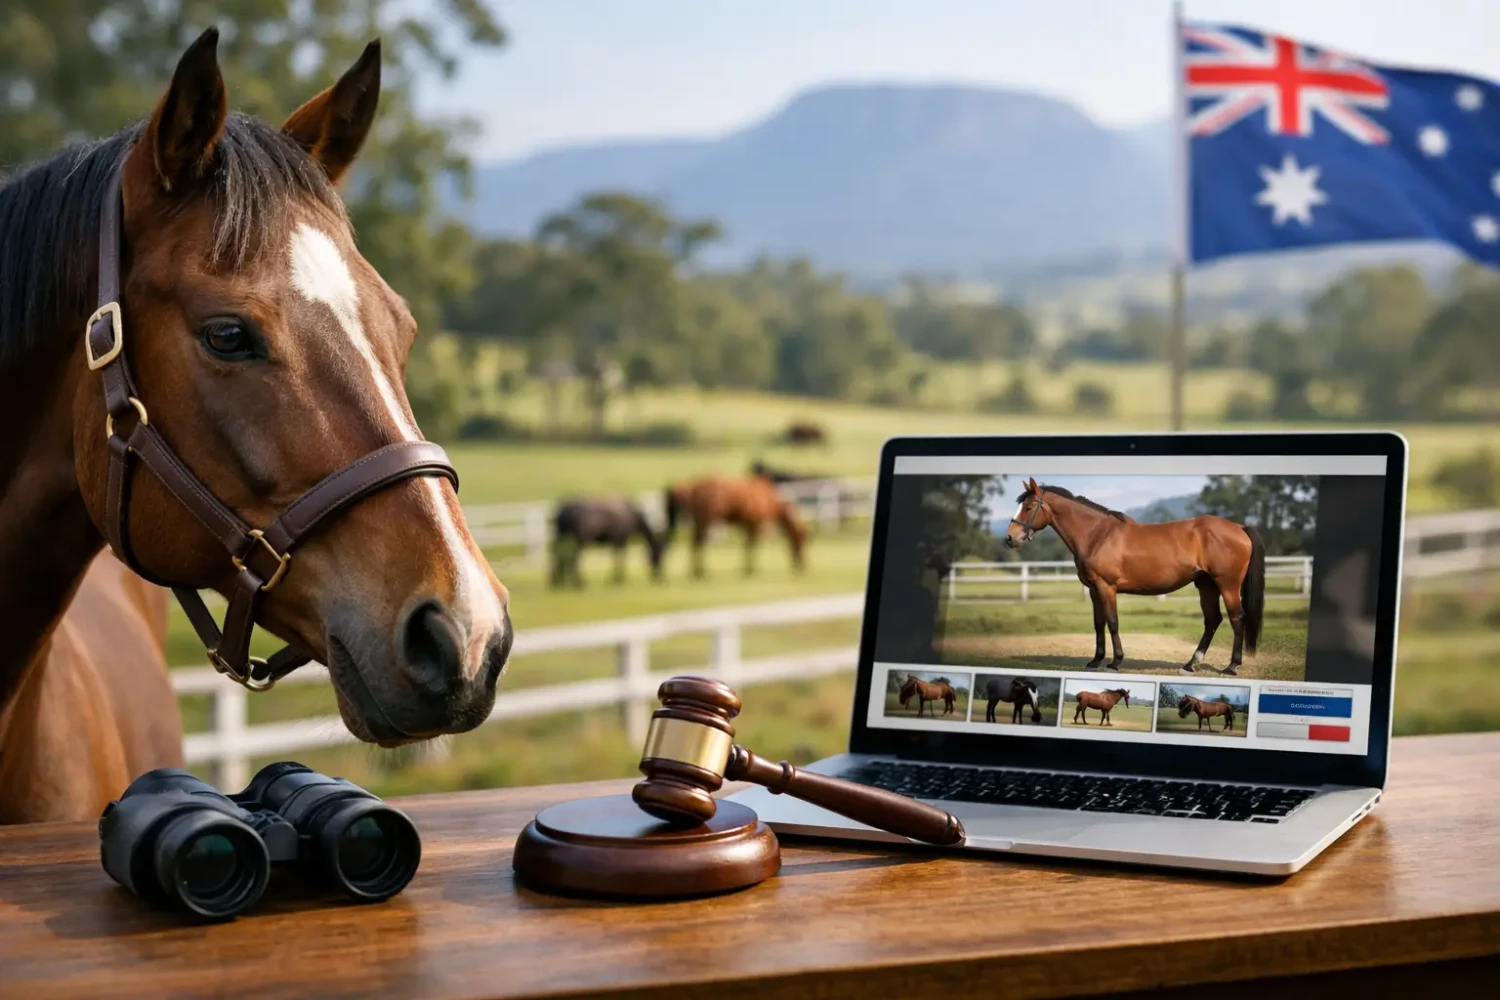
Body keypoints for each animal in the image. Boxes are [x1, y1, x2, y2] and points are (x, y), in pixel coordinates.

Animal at [664, 475, 807, 578]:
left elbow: (747, 546)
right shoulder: (755, 524)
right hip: (705, 520)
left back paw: (697, 572)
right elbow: (752, 546)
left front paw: (746, 569)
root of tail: (691, 488)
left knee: (695, 543)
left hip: (699, 521)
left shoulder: (747, 525)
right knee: (697, 543)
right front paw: (750, 570)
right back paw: (701, 572)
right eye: (800, 539)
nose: (801, 564)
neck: (768, 499)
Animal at [1005, 478, 1265, 676]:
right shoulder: (1093, 589)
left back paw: (1231, 666)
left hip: (1227, 585)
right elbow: (1098, 624)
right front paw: (1095, 660)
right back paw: (1190, 664)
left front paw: (1115, 662)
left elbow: (1112, 622)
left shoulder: (1106, 587)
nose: (1010, 538)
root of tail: (1239, 528)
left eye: (1029, 506)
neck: (1097, 535)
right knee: (1213, 620)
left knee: (1237, 618)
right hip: (1206, 585)